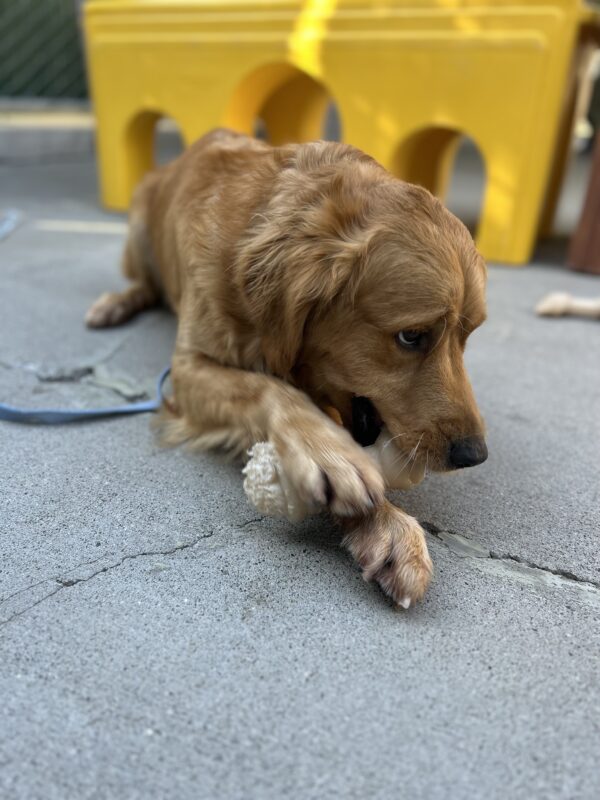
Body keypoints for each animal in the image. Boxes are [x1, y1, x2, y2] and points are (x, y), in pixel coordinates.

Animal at [85, 128, 488, 608]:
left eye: (469, 335)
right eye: (411, 336)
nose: (474, 455)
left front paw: (384, 524)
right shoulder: (187, 367)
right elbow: (268, 389)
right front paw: (327, 453)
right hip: (139, 226)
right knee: (143, 284)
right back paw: (114, 304)